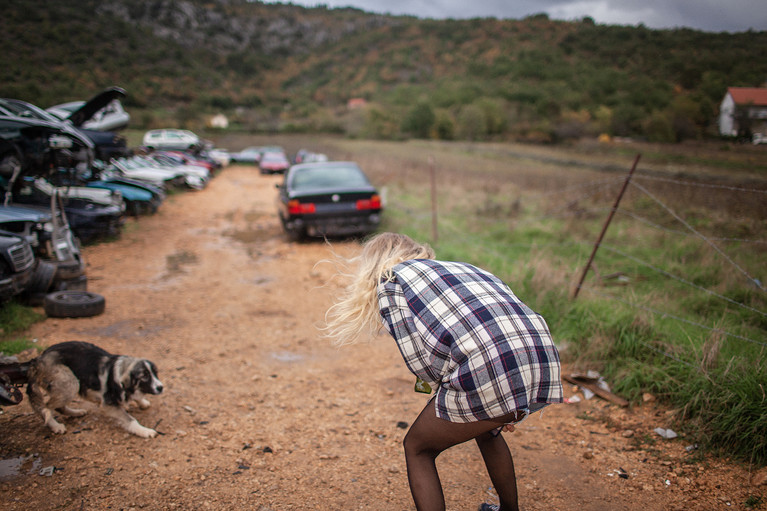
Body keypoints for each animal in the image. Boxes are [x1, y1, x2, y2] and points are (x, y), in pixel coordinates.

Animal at [26, 342, 164, 438]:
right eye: (144, 376)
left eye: (155, 373)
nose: (161, 387)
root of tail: (38, 360)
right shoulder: (108, 405)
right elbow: (131, 420)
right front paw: (144, 431)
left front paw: (142, 402)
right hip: (71, 382)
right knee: (46, 407)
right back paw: (55, 426)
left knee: (58, 406)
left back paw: (76, 413)